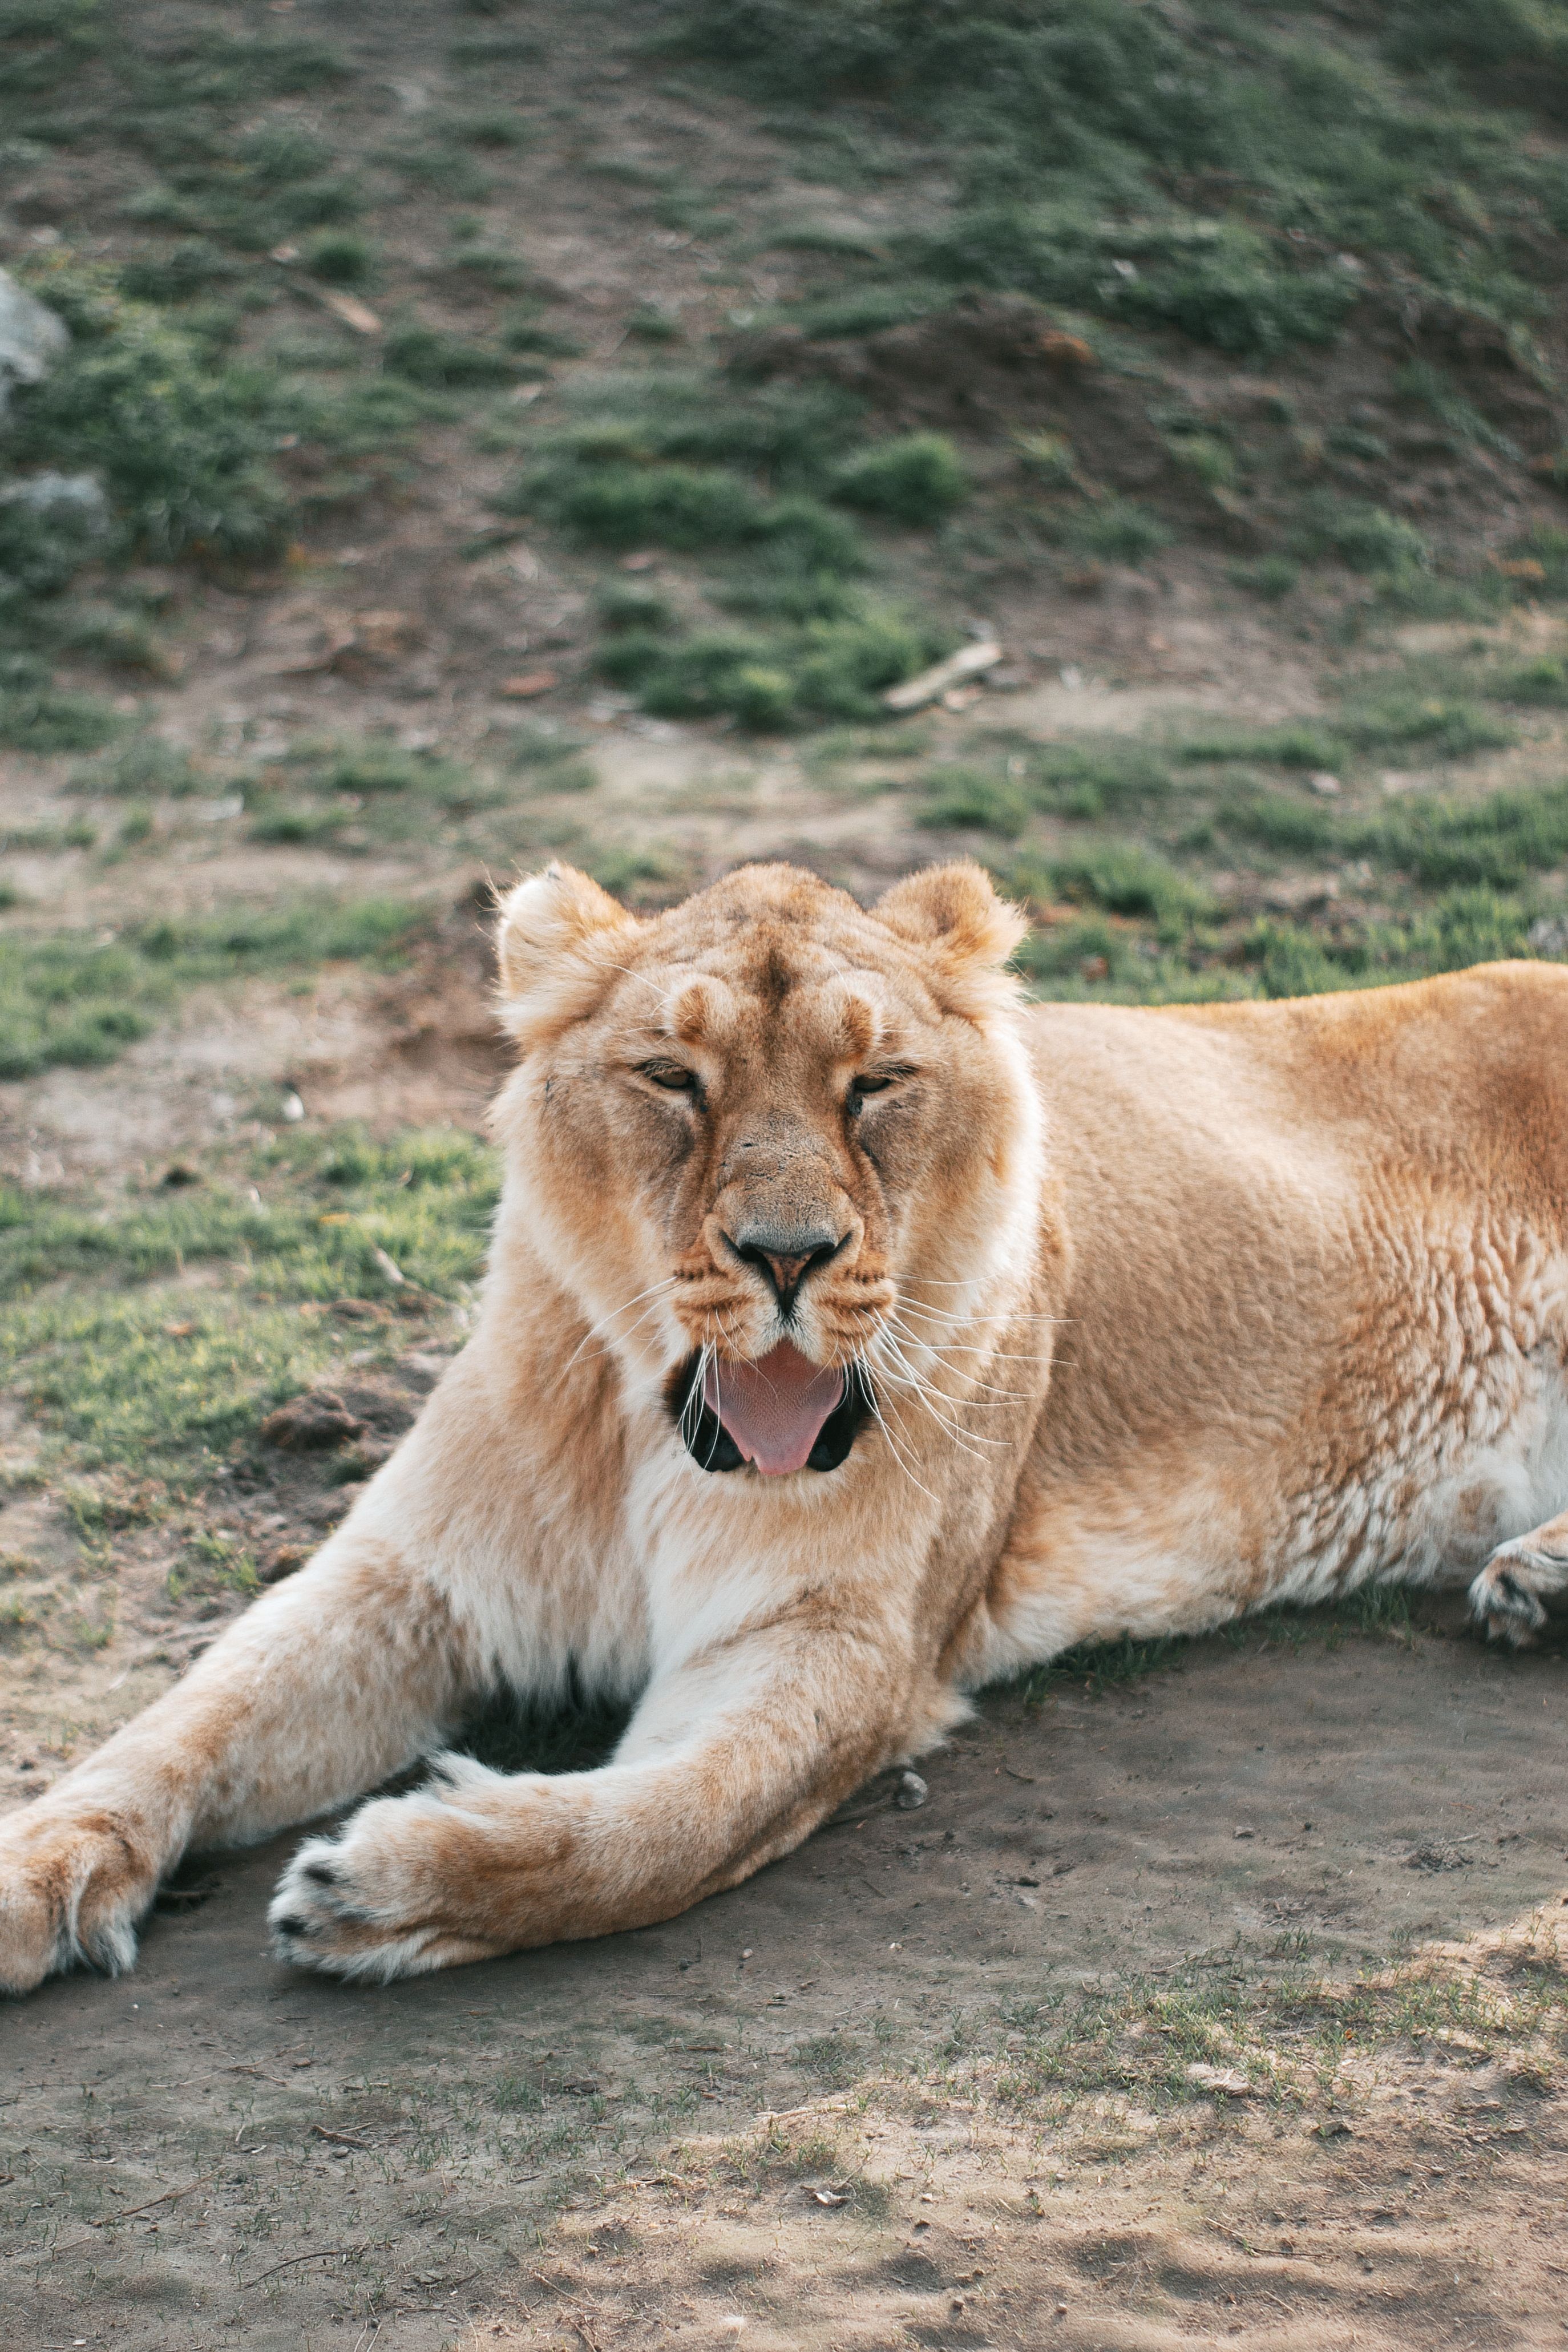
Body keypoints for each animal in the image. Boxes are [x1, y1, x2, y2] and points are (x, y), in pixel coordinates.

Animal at [2, 858, 1566, 1994]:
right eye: (671, 1079)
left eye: (874, 1087)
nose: (787, 1255)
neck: (642, 1438)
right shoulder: (414, 1576)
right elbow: (187, 1716)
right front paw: (33, 1871)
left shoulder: (835, 1640)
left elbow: (662, 1827)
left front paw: (393, 1880)